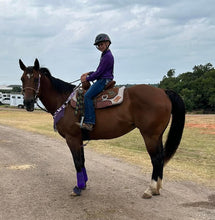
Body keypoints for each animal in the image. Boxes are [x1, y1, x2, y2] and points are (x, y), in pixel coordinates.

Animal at [19, 58, 186, 198]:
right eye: (22, 78)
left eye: (36, 78)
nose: (27, 103)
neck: (64, 101)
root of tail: (163, 92)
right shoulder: (79, 139)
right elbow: (82, 161)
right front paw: (83, 184)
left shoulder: (72, 138)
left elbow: (77, 162)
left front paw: (77, 188)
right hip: (157, 135)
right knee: (160, 157)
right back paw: (156, 189)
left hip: (150, 135)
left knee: (156, 159)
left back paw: (150, 189)